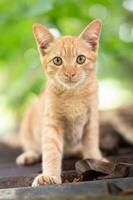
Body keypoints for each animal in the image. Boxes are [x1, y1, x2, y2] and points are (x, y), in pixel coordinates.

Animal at [15, 20, 105, 186]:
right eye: (57, 60)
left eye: (81, 59)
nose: (70, 73)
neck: (73, 94)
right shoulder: (52, 123)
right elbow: (51, 150)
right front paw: (50, 176)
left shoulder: (92, 119)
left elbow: (91, 143)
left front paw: (97, 160)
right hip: (28, 121)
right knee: (31, 145)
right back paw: (29, 155)